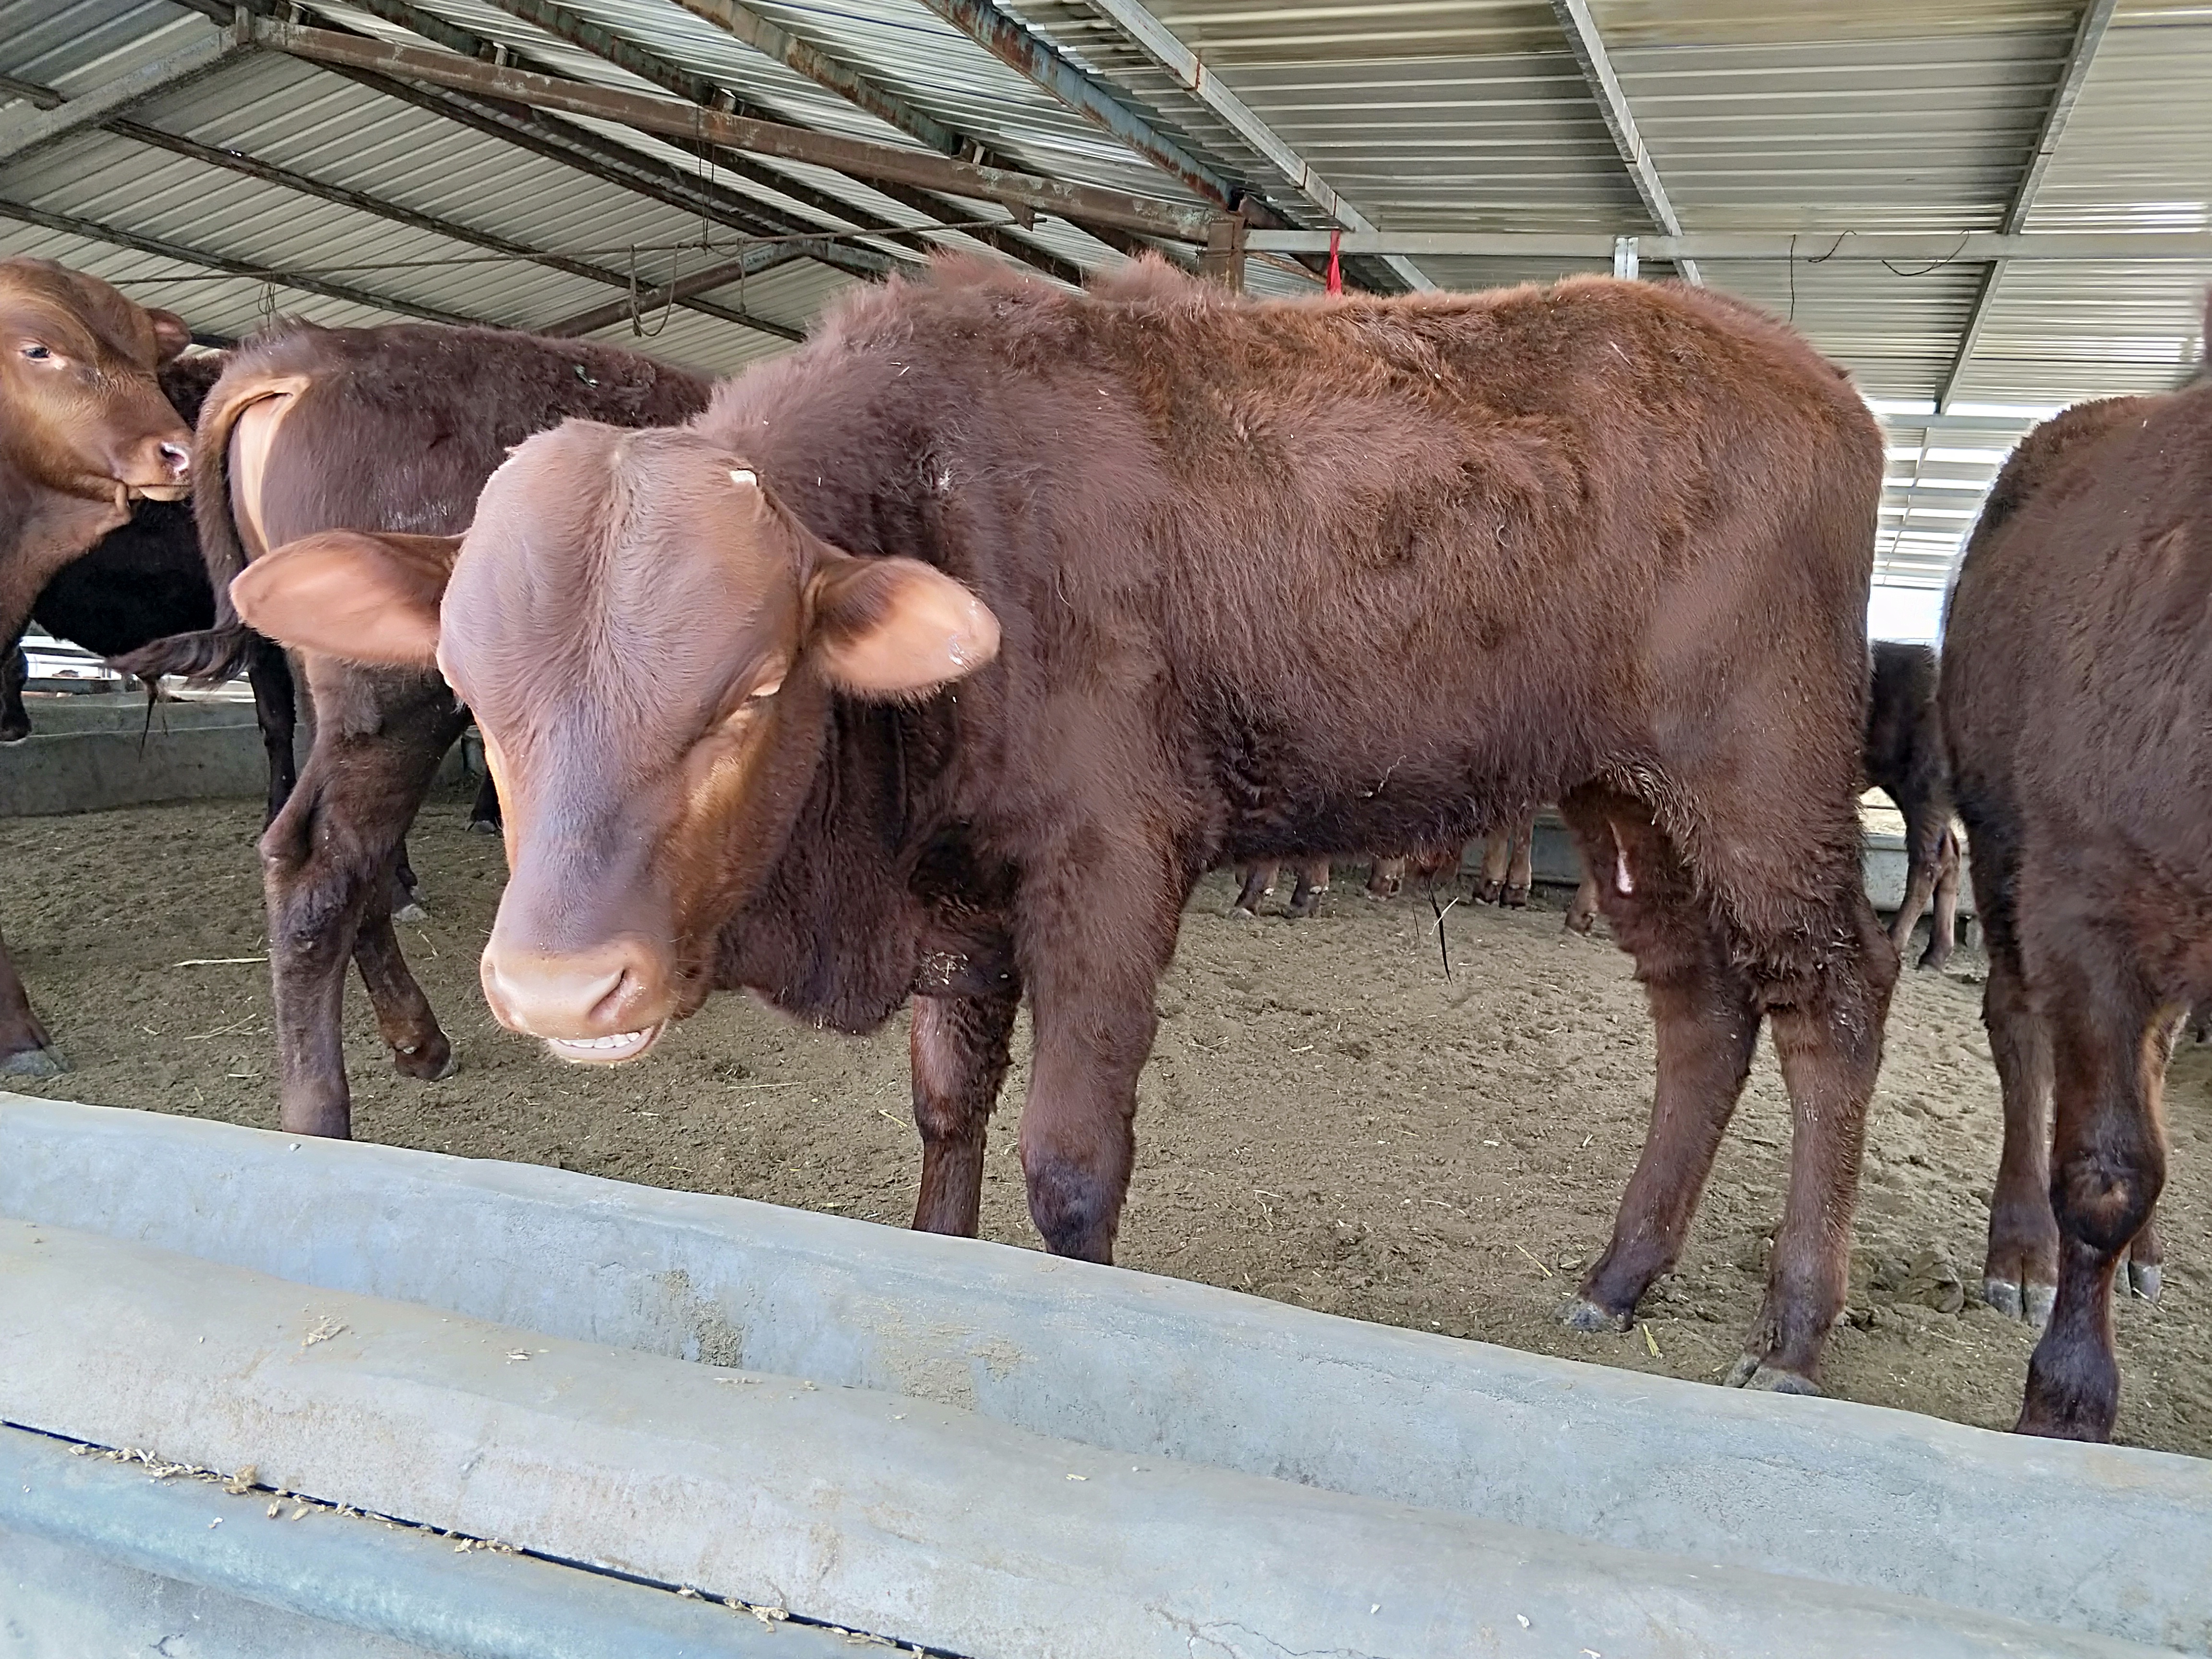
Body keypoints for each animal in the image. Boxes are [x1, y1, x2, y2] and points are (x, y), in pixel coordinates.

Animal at [121, 318, 708, 1141]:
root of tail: (309, 352)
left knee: (356, 860)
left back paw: (418, 1042)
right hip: (398, 693)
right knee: (319, 865)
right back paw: (321, 1117)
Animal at [233, 260, 1893, 1398]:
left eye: (753, 688)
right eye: (475, 689)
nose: (561, 987)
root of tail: (1799, 367)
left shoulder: (1110, 863)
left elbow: (1072, 1159)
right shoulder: (962, 893)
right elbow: (948, 1109)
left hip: (1761, 774)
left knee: (1831, 1001)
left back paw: (1795, 1329)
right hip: (1626, 796)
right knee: (1701, 1010)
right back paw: (1623, 1274)